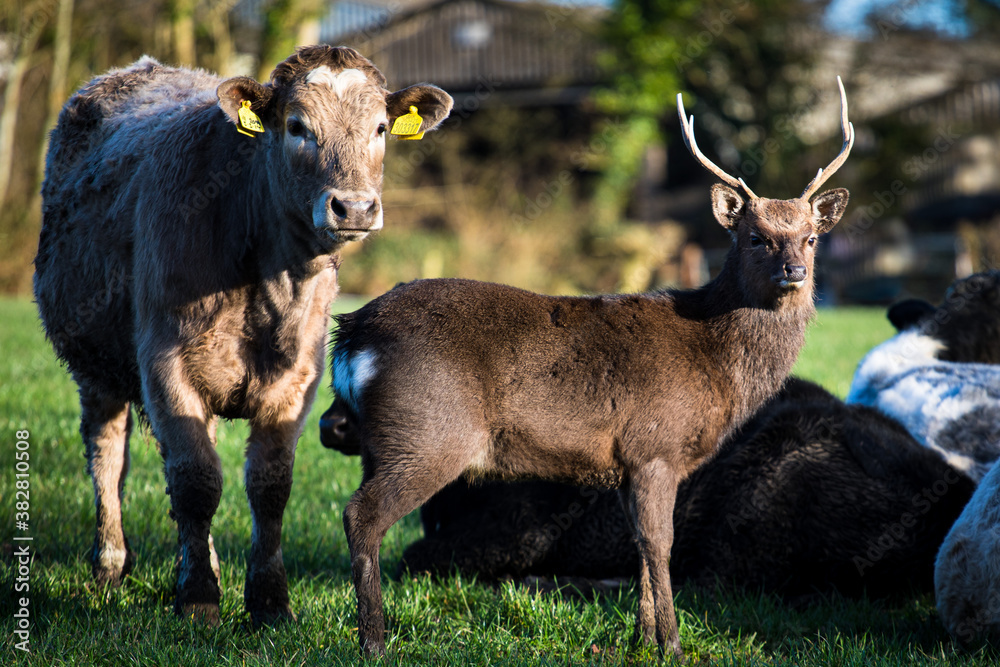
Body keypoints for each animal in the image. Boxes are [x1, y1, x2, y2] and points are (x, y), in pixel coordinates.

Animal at [331, 78, 854, 659]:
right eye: (757, 236)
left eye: (811, 236)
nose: (796, 271)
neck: (715, 361)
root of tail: (351, 332)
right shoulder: (655, 446)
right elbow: (660, 544)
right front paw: (673, 646)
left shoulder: (626, 464)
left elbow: (639, 548)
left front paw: (642, 639)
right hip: (430, 434)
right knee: (361, 517)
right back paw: (374, 642)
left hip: (381, 443)